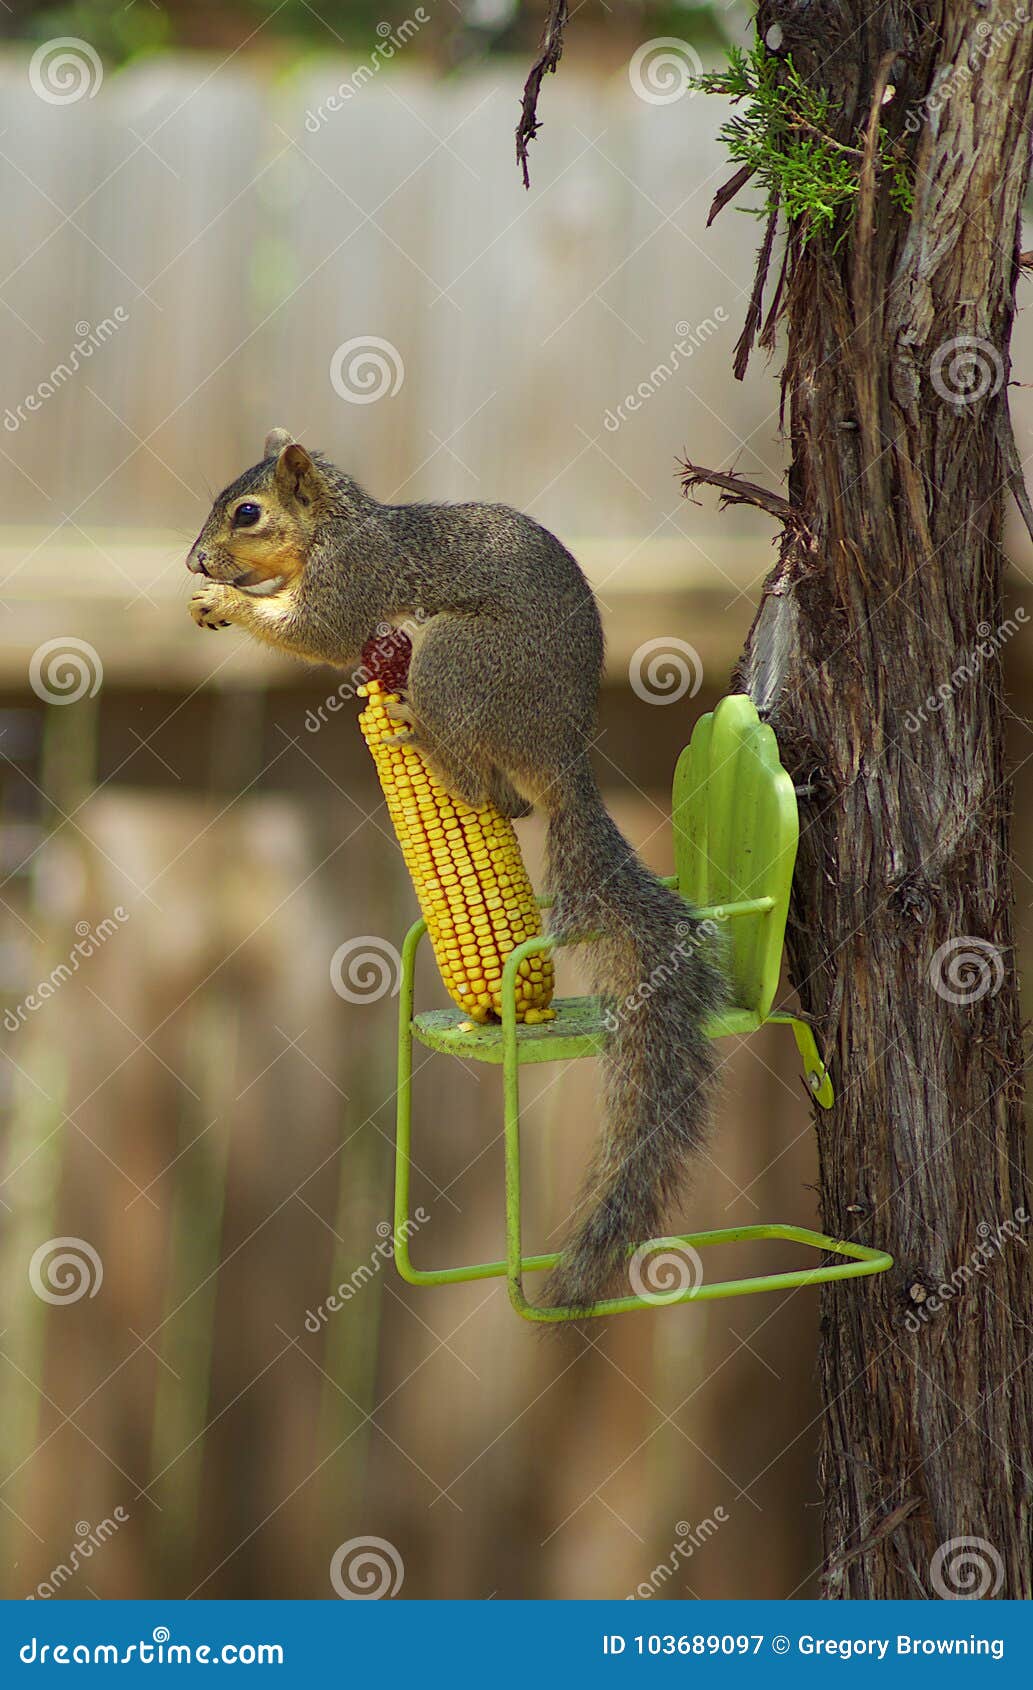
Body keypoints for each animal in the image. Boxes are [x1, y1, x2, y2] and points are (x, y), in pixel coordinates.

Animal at [187, 428, 725, 1312]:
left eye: (247, 512)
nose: (196, 562)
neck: (338, 526)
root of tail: (560, 752)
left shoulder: (356, 580)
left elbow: (321, 634)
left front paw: (229, 604)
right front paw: (212, 601)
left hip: (459, 662)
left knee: (476, 783)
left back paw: (419, 734)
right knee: (505, 802)